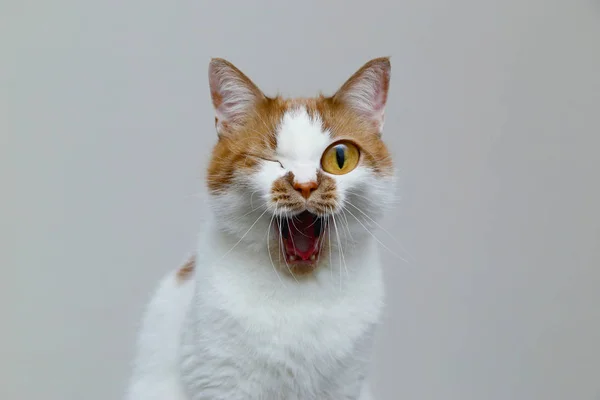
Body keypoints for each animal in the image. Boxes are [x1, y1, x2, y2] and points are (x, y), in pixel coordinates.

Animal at [126, 57, 396, 400]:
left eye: (339, 157)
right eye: (267, 159)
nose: (305, 185)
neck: (301, 297)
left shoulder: (347, 385)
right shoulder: (221, 381)